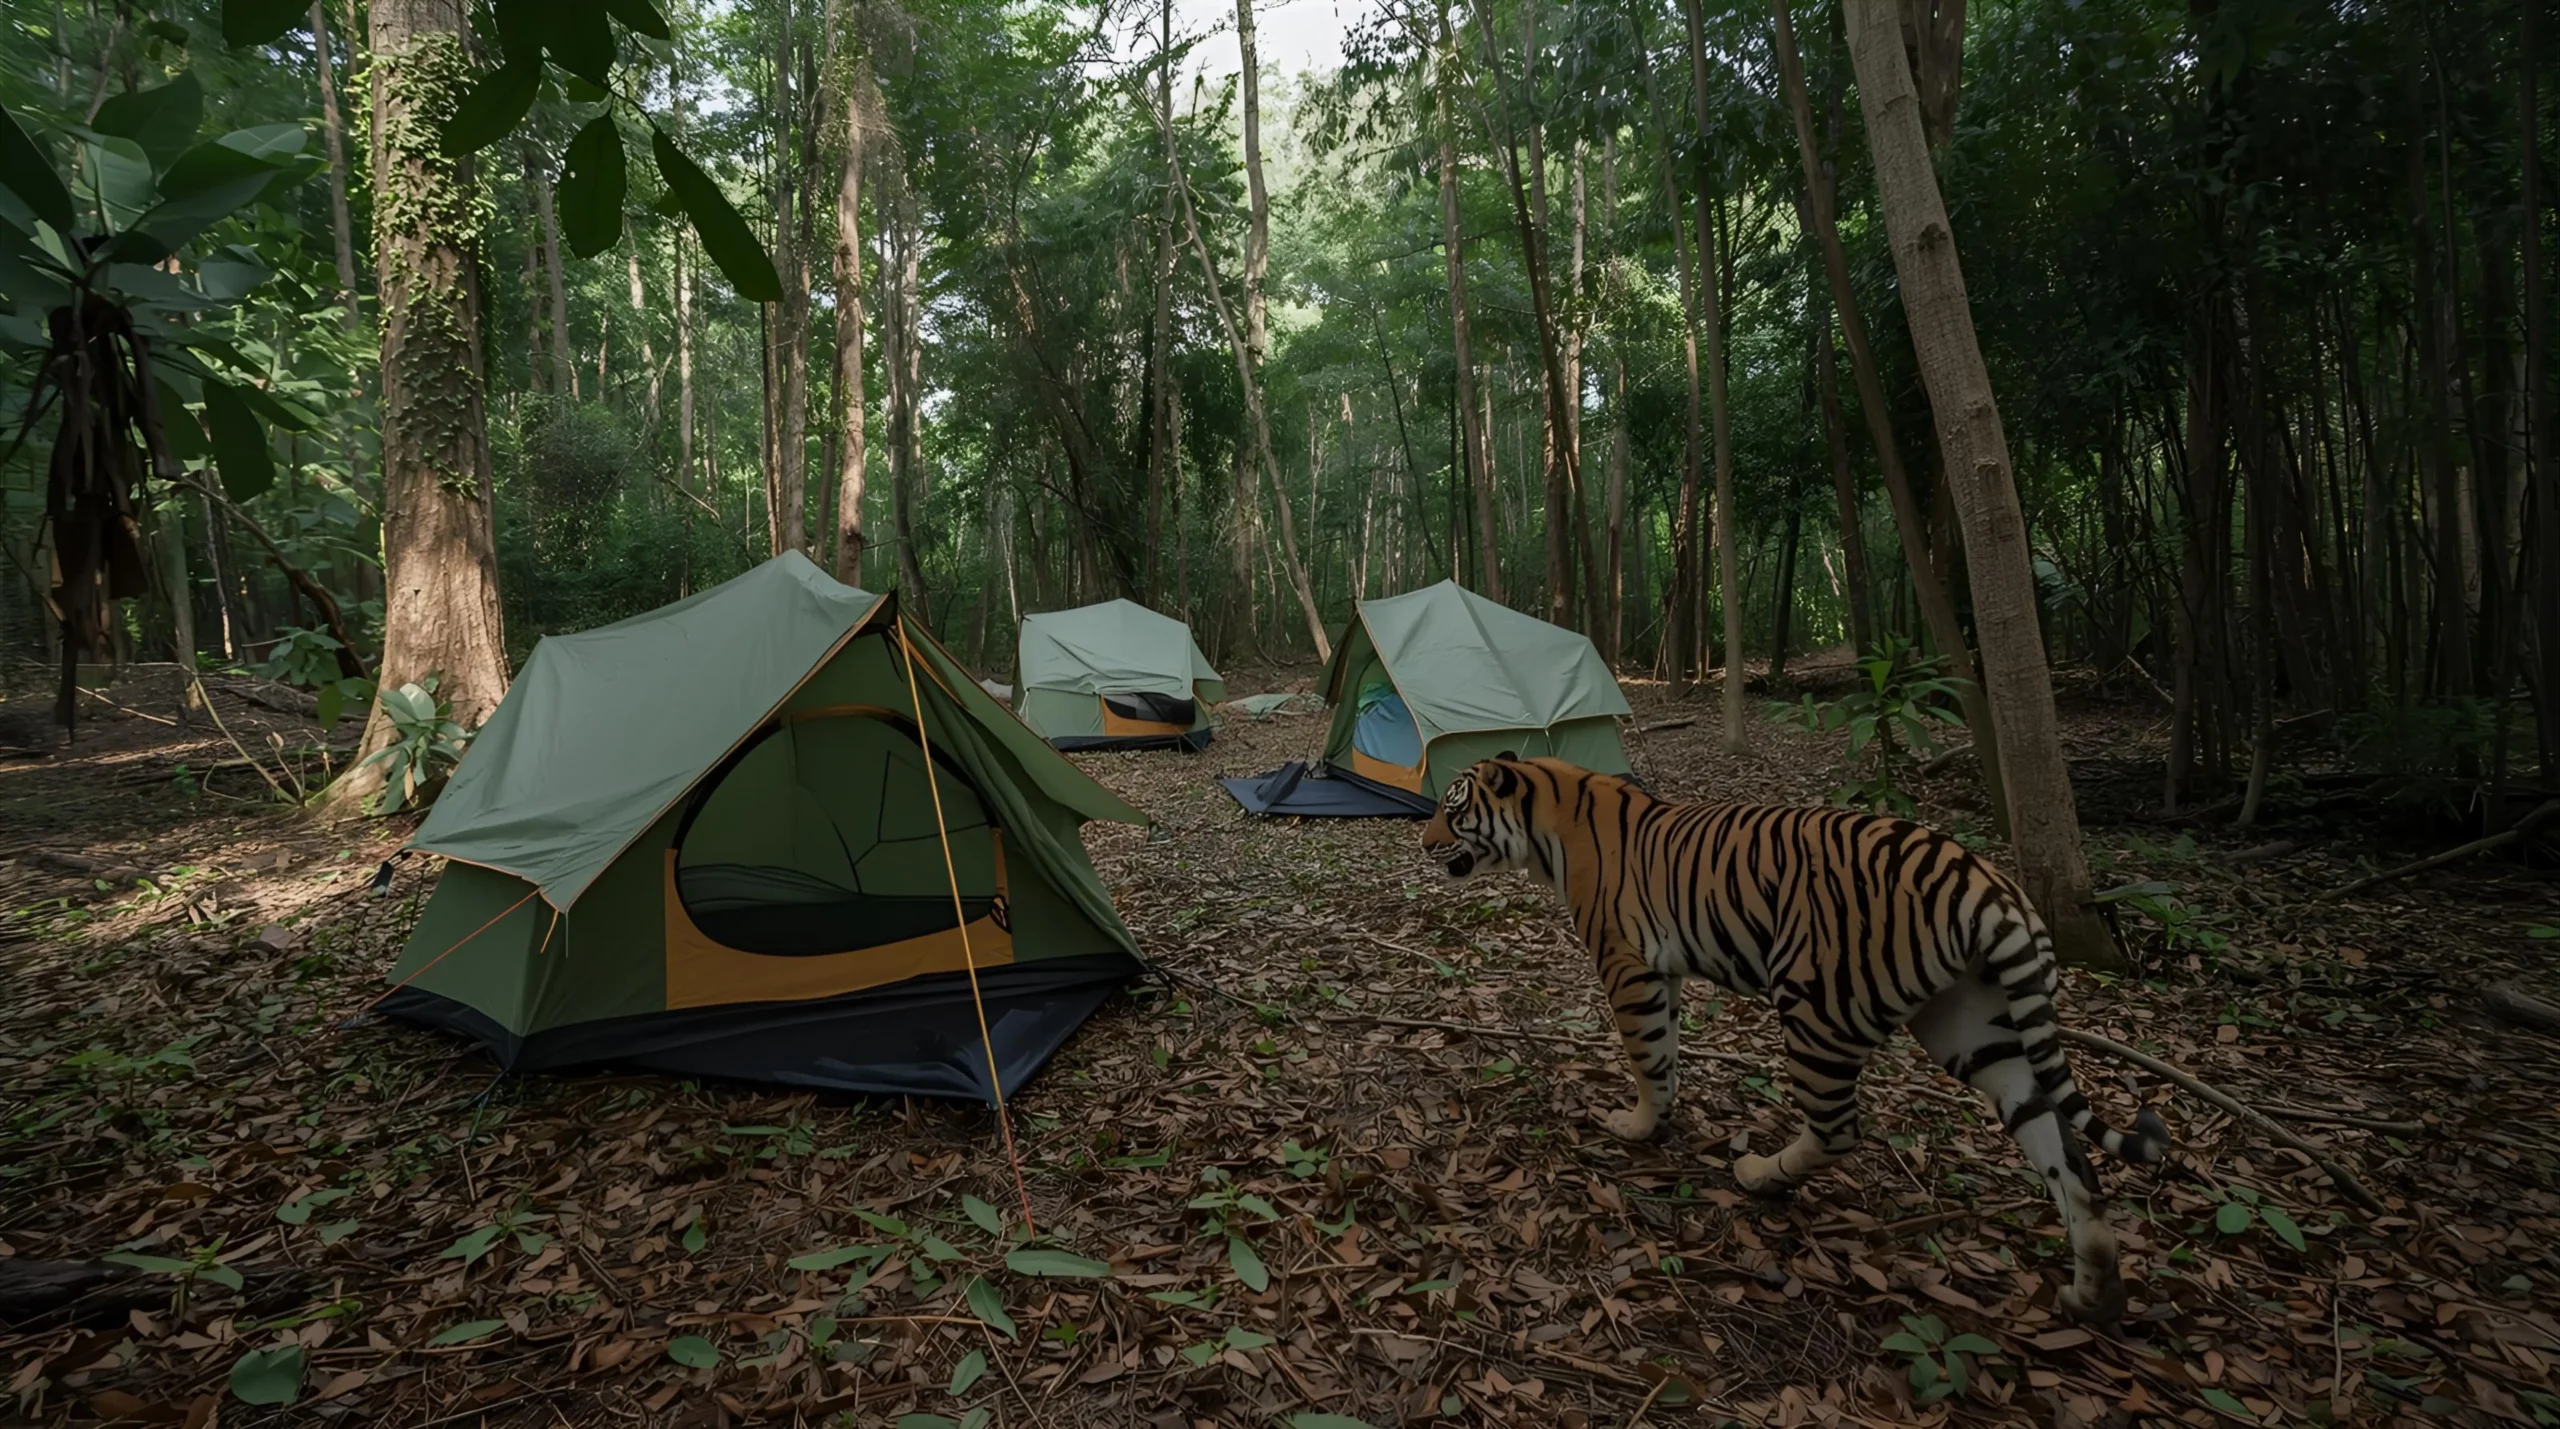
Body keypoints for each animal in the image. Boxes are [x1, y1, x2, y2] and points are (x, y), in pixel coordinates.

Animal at [1419, 755, 2170, 1323]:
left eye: (1453, 810)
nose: (1423, 844)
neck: (1546, 824)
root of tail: (1989, 888)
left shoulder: (1627, 964)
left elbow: (1647, 1057)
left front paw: (1638, 1126)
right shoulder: (1662, 970)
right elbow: (1667, 1049)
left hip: (1818, 1009)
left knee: (1840, 1129)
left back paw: (1760, 1175)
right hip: (1976, 1030)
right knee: (2066, 1156)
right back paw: (2095, 1293)